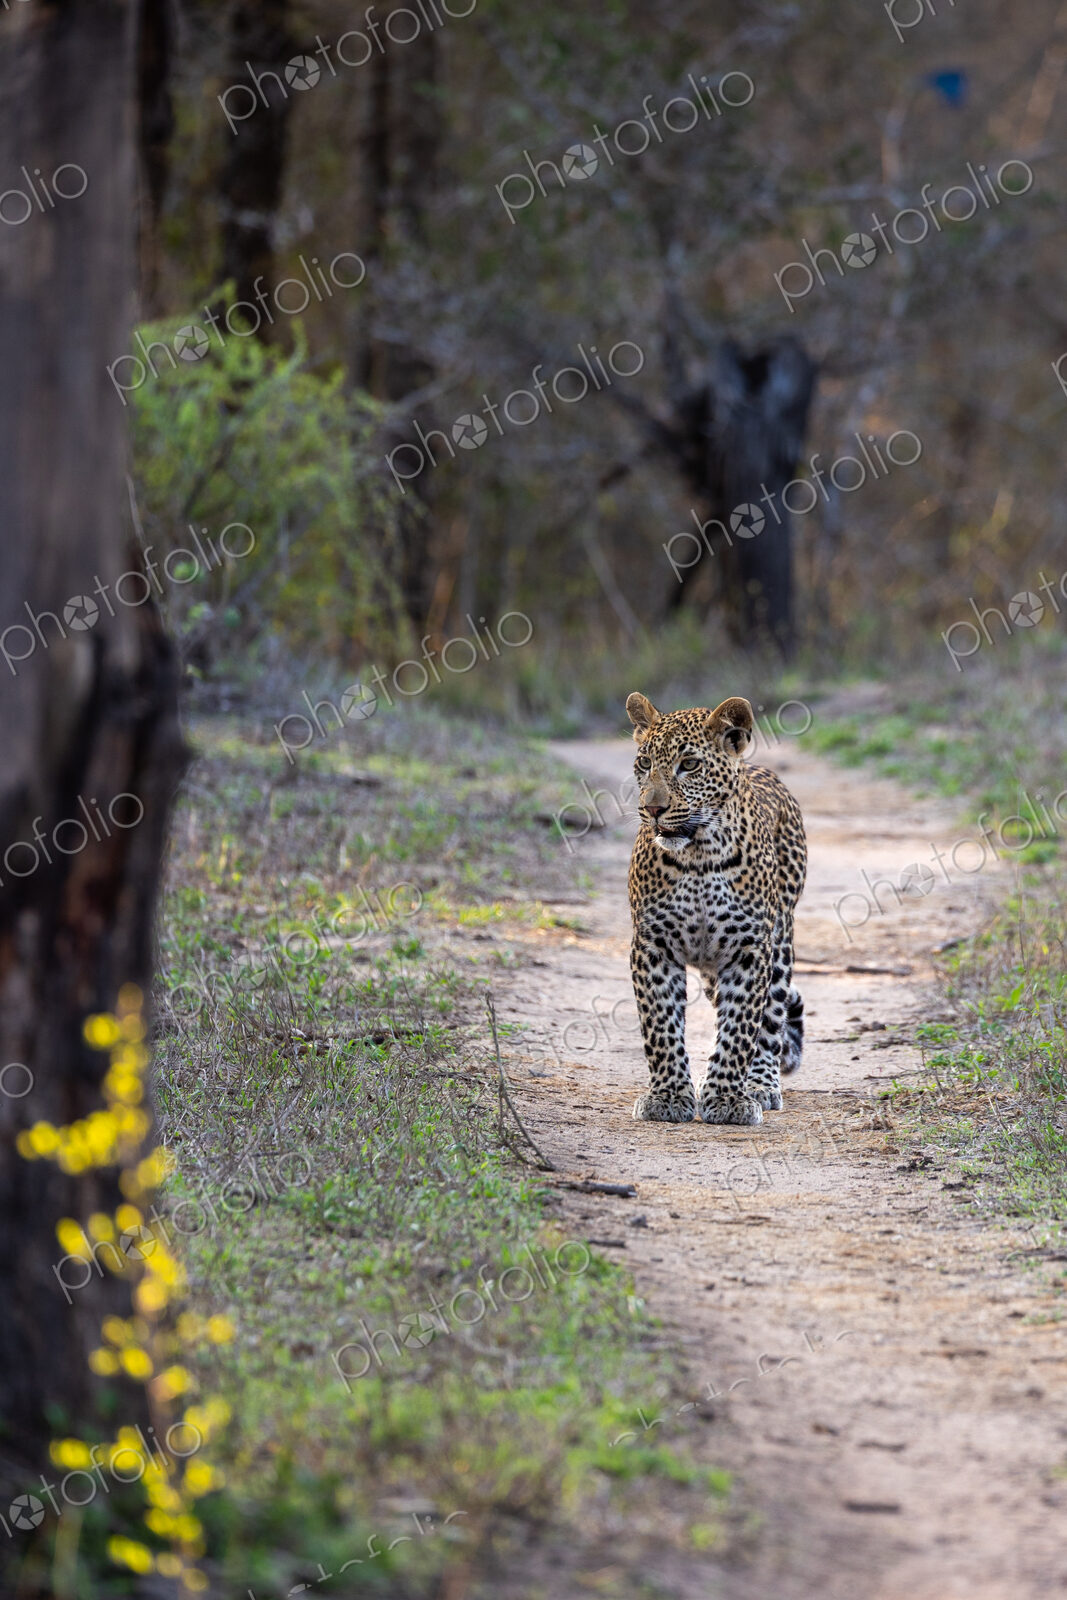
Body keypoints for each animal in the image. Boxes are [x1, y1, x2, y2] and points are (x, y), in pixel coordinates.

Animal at [625, 691, 807, 1127]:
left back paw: (759, 1084)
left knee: (770, 1020)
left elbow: (742, 1026)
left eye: (689, 765)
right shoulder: (652, 945)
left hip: (780, 943)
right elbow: (660, 1025)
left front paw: (725, 1098)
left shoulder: (749, 949)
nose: (652, 809)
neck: (699, 856)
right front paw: (668, 1097)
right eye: (644, 763)